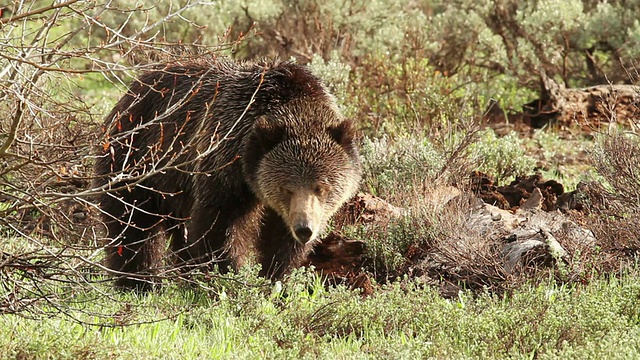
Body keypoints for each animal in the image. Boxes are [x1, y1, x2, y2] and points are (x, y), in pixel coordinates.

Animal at [93, 58, 362, 290]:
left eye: (321, 187)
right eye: (287, 188)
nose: (304, 229)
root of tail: (130, 92)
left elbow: (280, 243)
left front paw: (274, 278)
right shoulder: (224, 163)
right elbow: (219, 226)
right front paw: (228, 275)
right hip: (136, 160)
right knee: (132, 225)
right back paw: (139, 282)